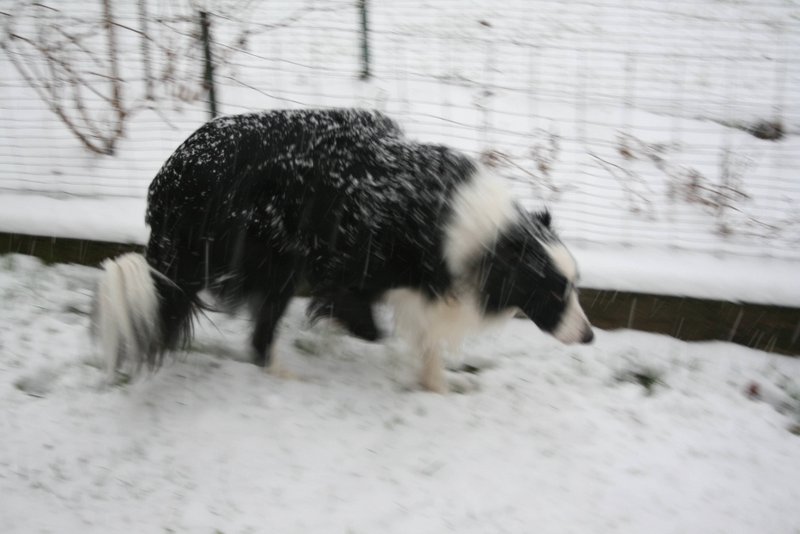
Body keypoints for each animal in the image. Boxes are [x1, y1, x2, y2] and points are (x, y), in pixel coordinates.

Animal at [95, 109, 592, 394]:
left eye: (575, 287)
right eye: (555, 291)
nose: (589, 337)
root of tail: (169, 180)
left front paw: (436, 383)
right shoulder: (357, 268)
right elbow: (377, 326)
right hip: (273, 257)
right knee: (261, 334)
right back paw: (286, 376)